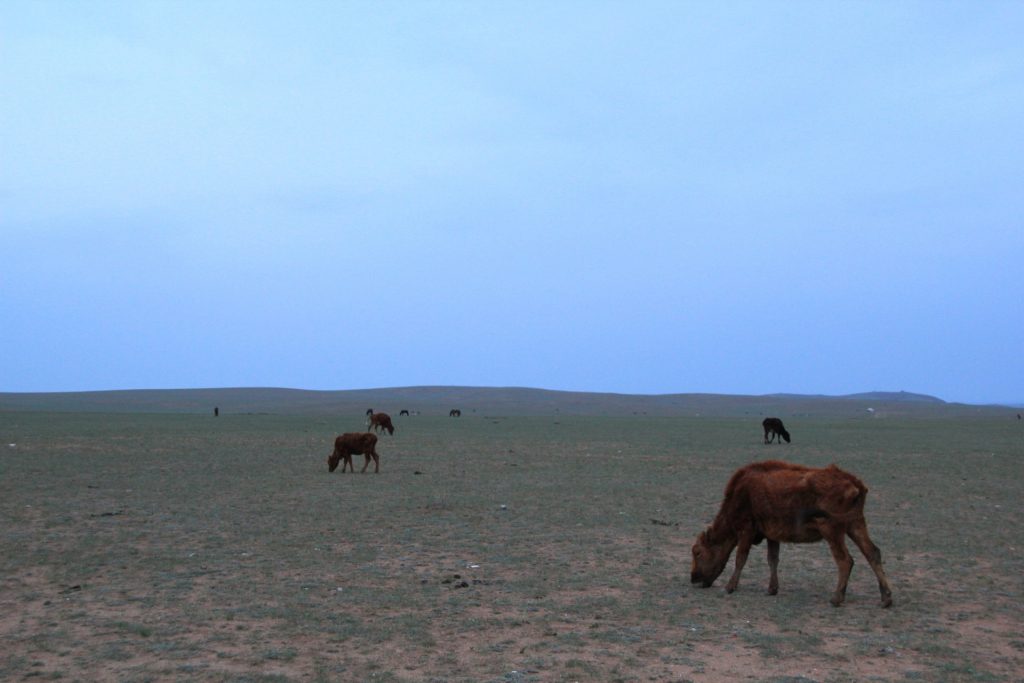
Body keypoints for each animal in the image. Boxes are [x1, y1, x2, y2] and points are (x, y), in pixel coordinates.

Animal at [688, 462, 897, 606]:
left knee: (845, 560)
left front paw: (730, 587)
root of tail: (856, 485)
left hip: (832, 530)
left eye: (697, 552)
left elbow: (741, 558)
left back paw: (836, 598)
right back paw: (885, 598)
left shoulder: (746, 530)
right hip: (855, 524)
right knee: (872, 552)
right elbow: (772, 560)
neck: (740, 495)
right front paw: (772, 589)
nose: (694, 578)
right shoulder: (772, 535)